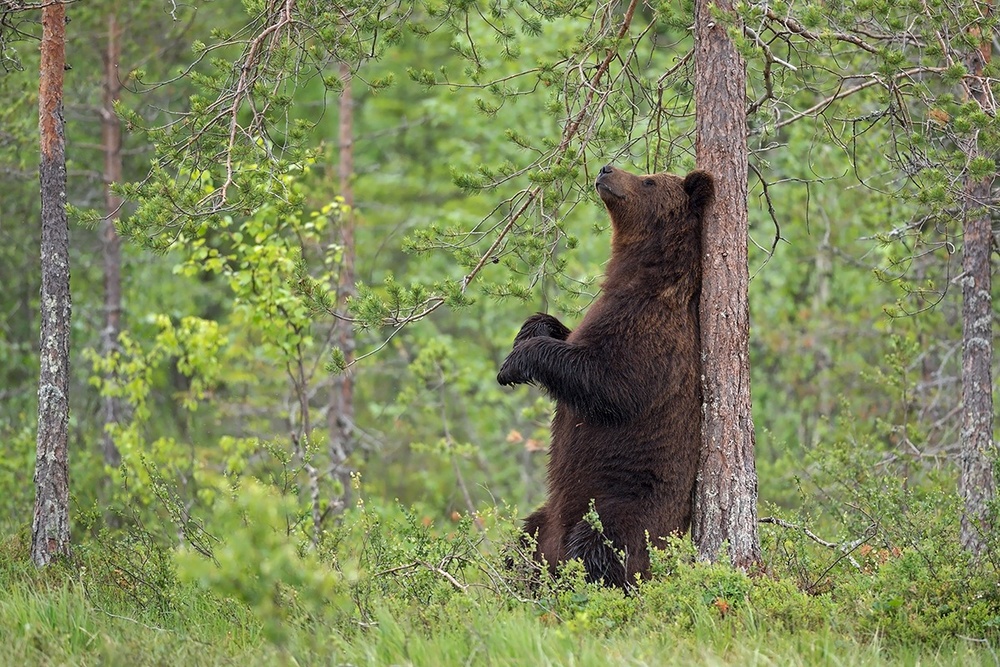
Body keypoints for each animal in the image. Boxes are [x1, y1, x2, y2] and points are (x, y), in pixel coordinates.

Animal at [498, 164, 716, 588]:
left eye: (648, 180)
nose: (606, 169)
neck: (637, 278)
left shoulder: (652, 336)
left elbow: (610, 383)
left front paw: (514, 364)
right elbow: (564, 335)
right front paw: (528, 333)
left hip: (626, 505)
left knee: (603, 544)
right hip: (545, 519)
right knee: (524, 536)